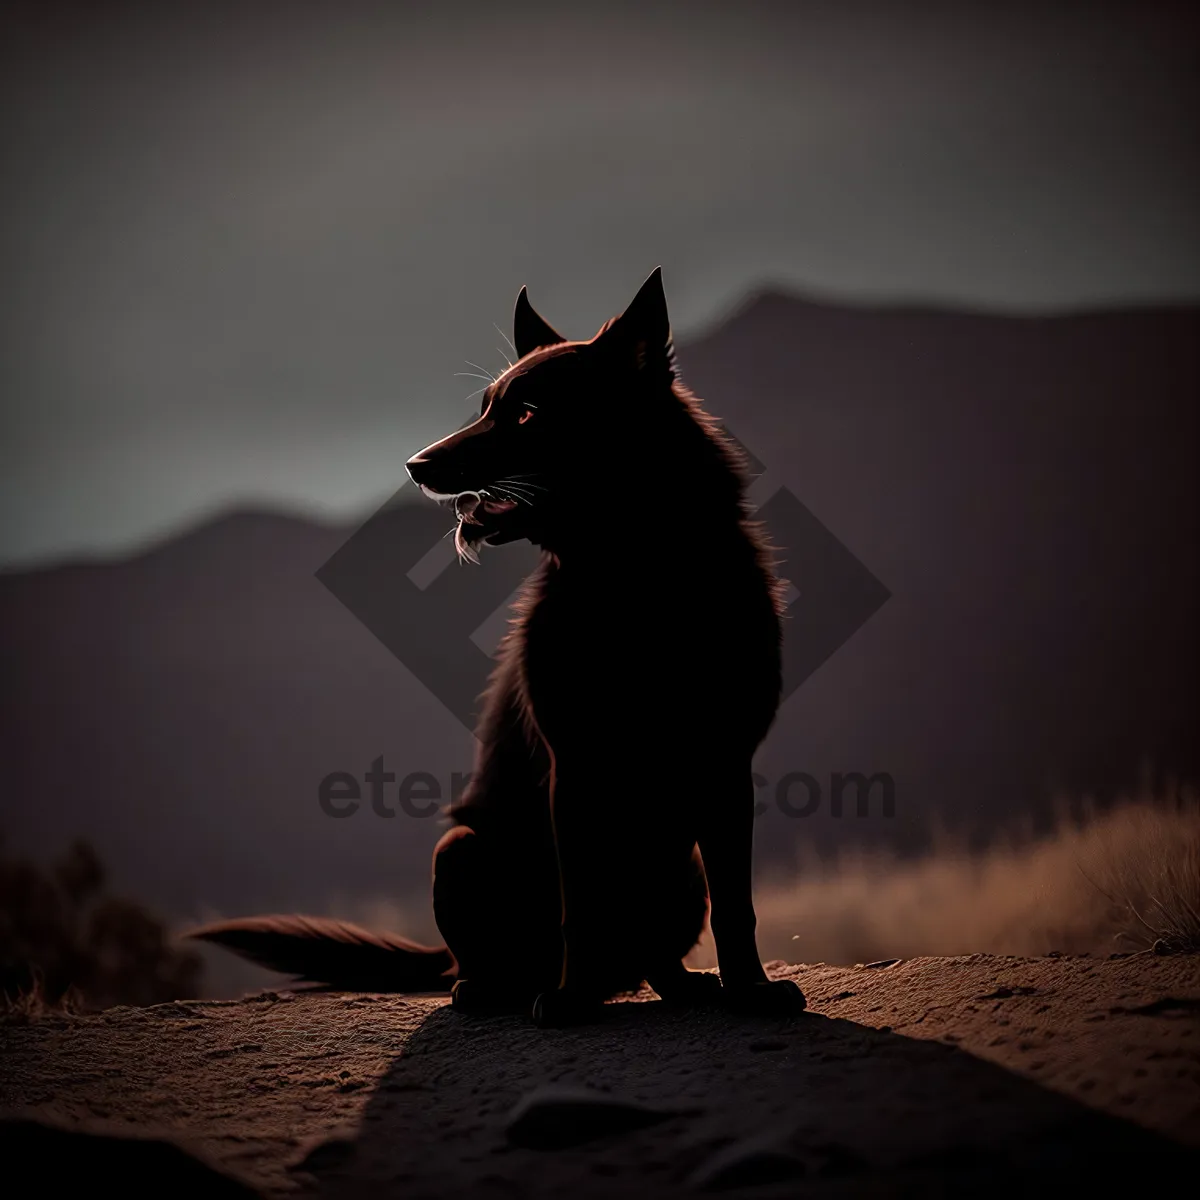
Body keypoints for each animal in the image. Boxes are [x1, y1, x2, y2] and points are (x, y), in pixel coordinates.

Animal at [192, 267, 801, 1027]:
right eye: (485, 407)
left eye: (529, 413)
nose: (414, 464)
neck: (635, 575)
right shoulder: (575, 772)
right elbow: (582, 907)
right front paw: (570, 1000)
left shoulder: (725, 766)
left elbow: (737, 906)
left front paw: (751, 990)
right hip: (460, 851)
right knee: (497, 960)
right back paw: (499, 988)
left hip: (678, 868)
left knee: (654, 951)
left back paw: (678, 982)